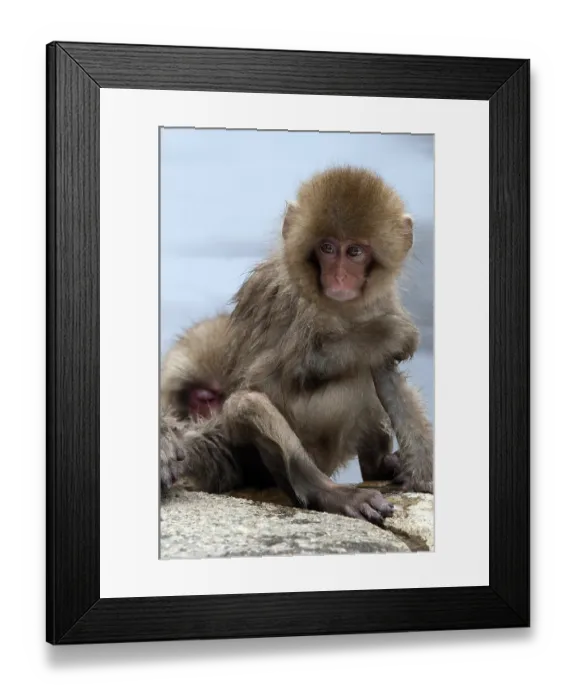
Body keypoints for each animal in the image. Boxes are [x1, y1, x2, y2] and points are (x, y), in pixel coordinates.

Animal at [160, 165, 433, 524]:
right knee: (250, 404)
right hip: (262, 459)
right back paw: (328, 493)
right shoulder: (296, 303)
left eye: (355, 252)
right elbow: (270, 377)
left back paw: (379, 466)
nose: (339, 277)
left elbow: (386, 372)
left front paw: (423, 476)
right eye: (327, 248)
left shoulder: (380, 298)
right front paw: (388, 334)